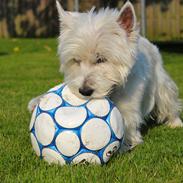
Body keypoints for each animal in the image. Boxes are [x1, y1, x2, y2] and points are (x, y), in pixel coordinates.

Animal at [27, 0, 182, 152]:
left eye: (101, 59)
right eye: (76, 60)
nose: (84, 91)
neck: (112, 91)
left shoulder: (129, 107)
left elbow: (125, 124)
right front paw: (37, 101)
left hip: (162, 84)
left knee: (169, 103)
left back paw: (175, 123)